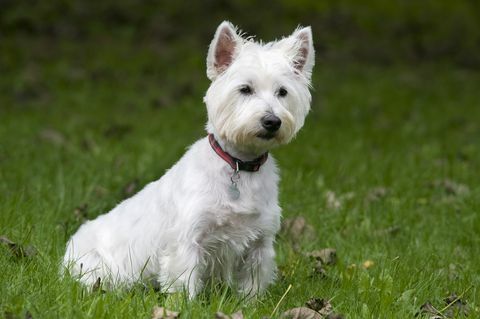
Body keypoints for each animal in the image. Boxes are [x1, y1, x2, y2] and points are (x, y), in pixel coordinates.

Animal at [63, 21, 316, 298]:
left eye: (282, 92)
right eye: (245, 89)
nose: (272, 121)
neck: (240, 164)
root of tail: (67, 250)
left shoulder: (260, 241)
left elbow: (253, 282)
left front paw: (250, 302)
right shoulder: (187, 240)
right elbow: (185, 281)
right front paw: (185, 303)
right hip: (97, 266)